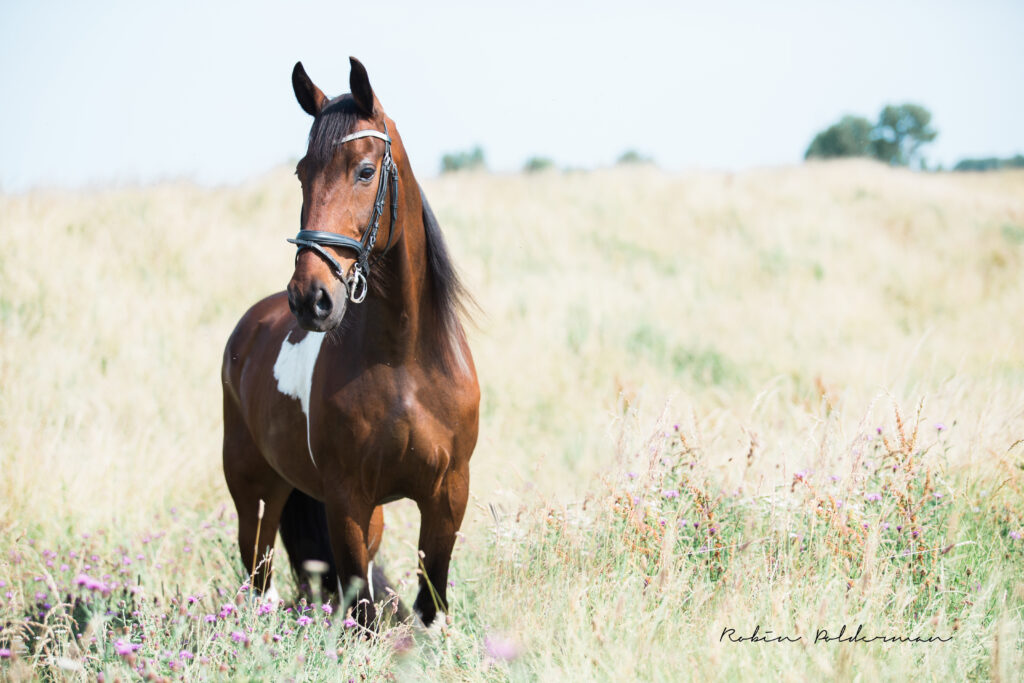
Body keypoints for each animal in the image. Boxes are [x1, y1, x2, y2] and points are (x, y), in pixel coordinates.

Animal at [222, 56, 477, 626]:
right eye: (302, 173)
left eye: (364, 171)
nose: (309, 297)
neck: (404, 361)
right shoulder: (346, 501)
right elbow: (361, 613)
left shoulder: (447, 495)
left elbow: (431, 604)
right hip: (255, 494)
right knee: (259, 575)